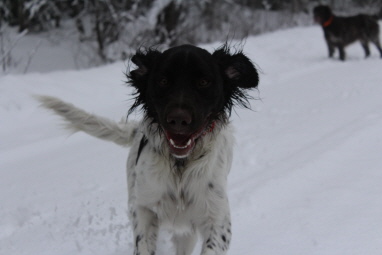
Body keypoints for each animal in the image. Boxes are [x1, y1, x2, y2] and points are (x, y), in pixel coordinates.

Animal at [38, 44, 258, 255]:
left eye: (203, 82)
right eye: (163, 81)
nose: (178, 119)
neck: (180, 165)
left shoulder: (216, 216)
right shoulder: (144, 207)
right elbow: (143, 242)